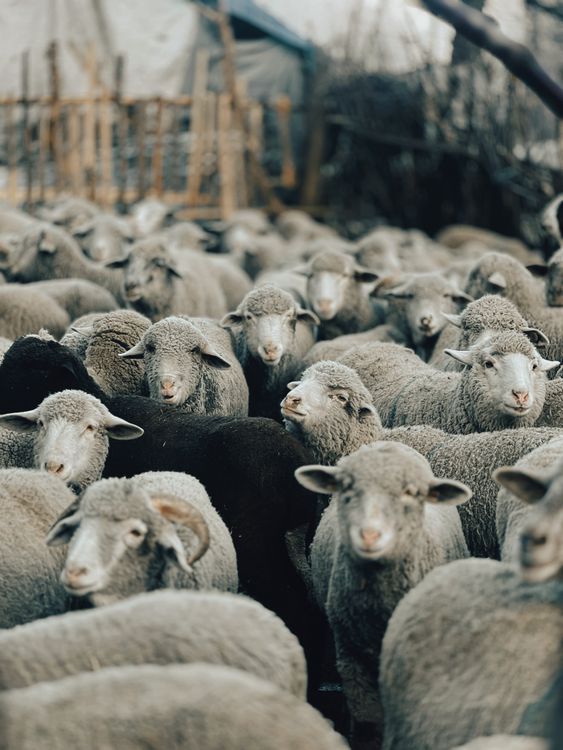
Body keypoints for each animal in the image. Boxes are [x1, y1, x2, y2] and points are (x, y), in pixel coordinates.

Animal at [295, 442, 470, 743]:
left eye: (410, 493)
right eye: (346, 488)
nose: (369, 535)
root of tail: (387, 443)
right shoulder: (352, 656)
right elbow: (369, 721)